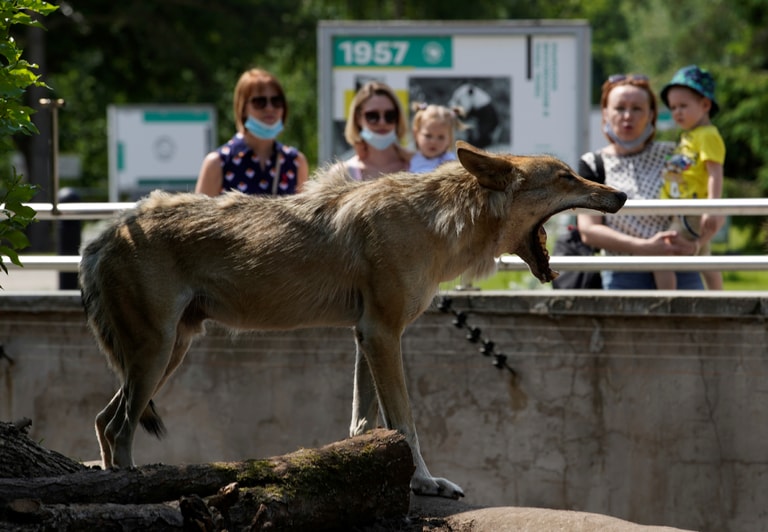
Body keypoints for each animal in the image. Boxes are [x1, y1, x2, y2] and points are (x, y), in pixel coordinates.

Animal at [81, 140, 628, 498]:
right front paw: (424, 483)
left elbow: (363, 422)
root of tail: (103, 235)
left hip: (170, 353)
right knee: (122, 428)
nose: (621, 196)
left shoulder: (363, 337)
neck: (436, 223)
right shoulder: (382, 334)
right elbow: (405, 423)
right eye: (567, 176)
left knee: (104, 421)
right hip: (157, 355)